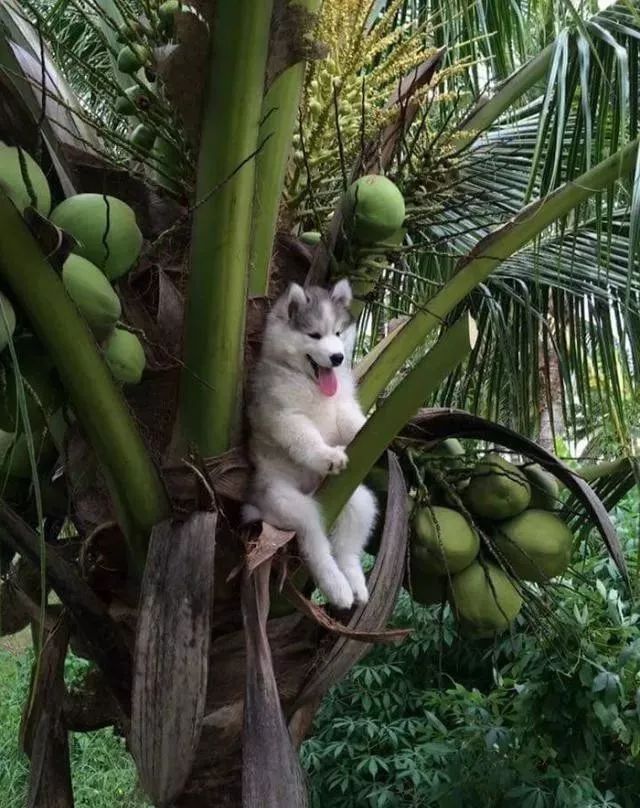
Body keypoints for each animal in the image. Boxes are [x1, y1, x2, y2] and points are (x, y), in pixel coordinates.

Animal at [244, 280, 376, 608]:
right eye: (314, 335)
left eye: (338, 333)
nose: (338, 358)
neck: (311, 384)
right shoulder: (284, 416)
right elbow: (306, 437)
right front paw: (327, 455)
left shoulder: (342, 407)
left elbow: (352, 424)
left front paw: (368, 427)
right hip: (286, 502)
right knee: (314, 542)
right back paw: (337, 586)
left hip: (358, 500)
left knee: (348, 546)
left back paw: (355, 582)